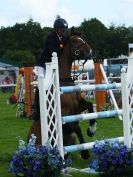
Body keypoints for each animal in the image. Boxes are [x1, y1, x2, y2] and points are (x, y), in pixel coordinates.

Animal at [27, 27, 96, 159]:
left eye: (82, 39)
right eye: (74, 41)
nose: (90, 52)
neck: (63, 79)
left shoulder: (78, 106)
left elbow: (90, 106)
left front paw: (92, 130)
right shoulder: (63, 115)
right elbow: (77, 127)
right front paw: (85, 152)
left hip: (71, 139)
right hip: (38, 146)